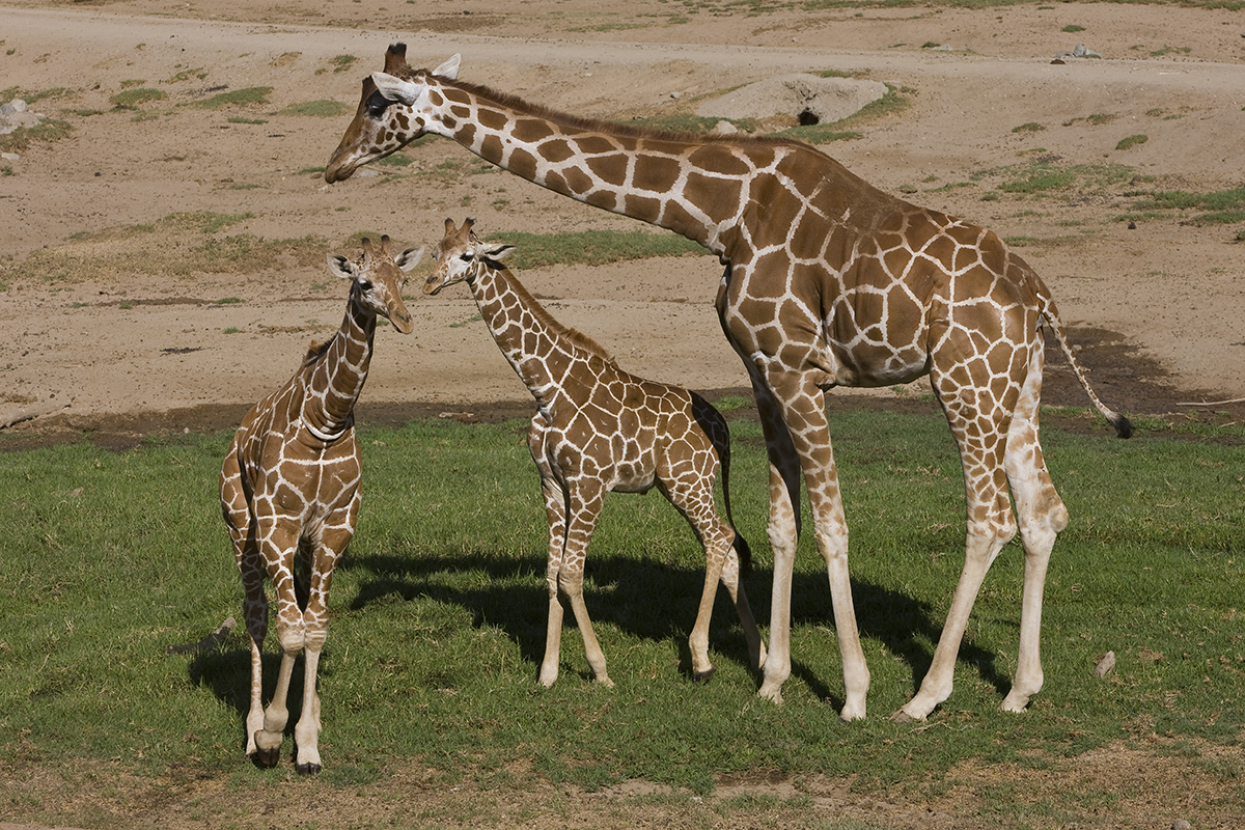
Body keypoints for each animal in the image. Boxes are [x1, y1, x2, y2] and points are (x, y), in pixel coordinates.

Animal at [219, 235, 421, 773]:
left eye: (403, 278)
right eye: (364, 282)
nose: (404, 318)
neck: (324, 420)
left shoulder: (334, 529)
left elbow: (315, 631)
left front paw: (307, 743)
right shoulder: (278, 525)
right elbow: (289, 631)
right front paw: (271, 734)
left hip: (304, 548)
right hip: (242, 530)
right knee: (256, 615)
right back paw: (252, 731)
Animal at [428, 217, 765, 686]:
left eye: (466, 254)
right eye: (435, 250)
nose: (429, 282)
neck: (547, 389)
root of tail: (723, 429)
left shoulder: (589, 484)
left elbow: (571, 574)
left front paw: (599, 670)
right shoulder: (552, 484)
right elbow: (551, 573)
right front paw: (547, 673)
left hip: (687, 482)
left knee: (719, 540)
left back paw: (701, 660)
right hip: (685, 485)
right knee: (727, 544)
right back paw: (759, 655)